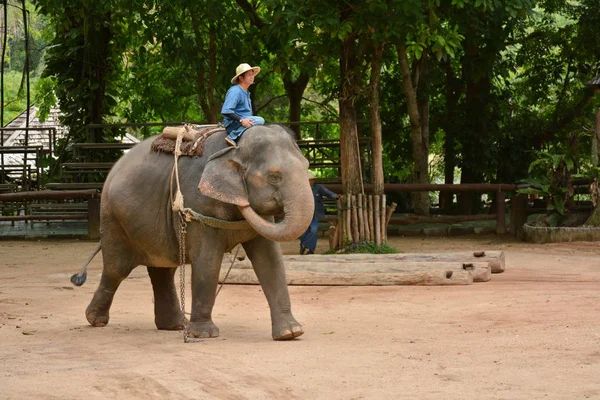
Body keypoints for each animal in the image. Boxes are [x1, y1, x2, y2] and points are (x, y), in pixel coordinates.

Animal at [72, 123, 312, 340]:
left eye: (307, 167)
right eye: (274, 177)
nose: (243, 204)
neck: (234, 148)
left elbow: (271, 261)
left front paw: (291, 333)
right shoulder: (199, 205)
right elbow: (207, 261)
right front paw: (205, 334)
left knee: (163, 269)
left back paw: (176, 326)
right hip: (112, 218)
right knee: (117, 268)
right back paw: (95, 320)